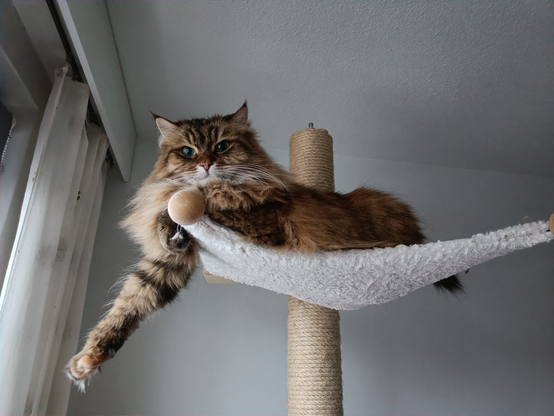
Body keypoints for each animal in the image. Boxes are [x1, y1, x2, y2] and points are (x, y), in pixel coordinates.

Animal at [66, 102, 462, 388]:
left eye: (222, 146)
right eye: (188, 151)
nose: (206, 164)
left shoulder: (263, 224)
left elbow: (205, 199)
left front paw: (182, 208)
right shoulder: (164, 266)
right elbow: (124, 311)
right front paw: (85, 362)